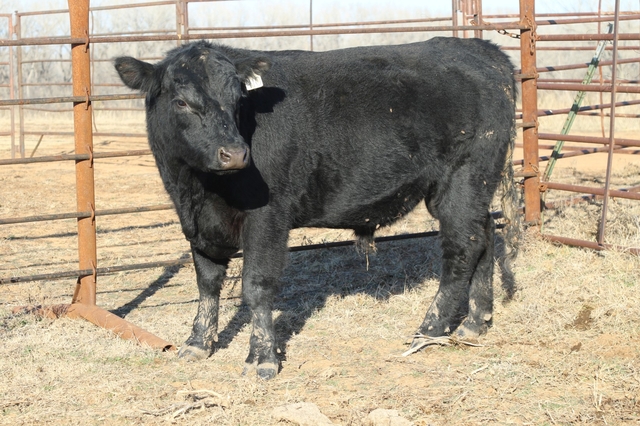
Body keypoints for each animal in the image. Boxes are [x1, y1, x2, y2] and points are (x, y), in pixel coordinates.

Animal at [115, 37, 520, 380]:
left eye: (237, 99)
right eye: (180, 101)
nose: (235, 153)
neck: (199, 189)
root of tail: (481, 49)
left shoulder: (267, 218)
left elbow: (256, 285)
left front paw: (262, 359)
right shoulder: (196, 223)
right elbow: (207, 282)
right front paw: (197, 343)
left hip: (463, 178)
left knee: (462, 248)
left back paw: (429, 329)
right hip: (471, 188)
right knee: (484, 235)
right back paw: (475, 321)